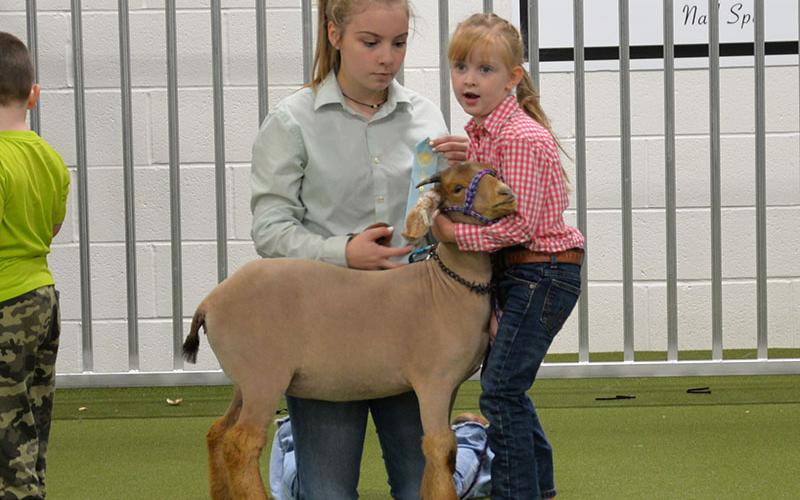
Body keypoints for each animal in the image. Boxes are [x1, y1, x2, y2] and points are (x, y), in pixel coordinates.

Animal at [182, 161, 516, 500]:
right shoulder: (434, 381)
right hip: (263, 377)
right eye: (457, 188)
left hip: (243, 380)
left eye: (493, 172)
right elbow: (441, 448)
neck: (445, 285)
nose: (507, 194)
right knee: (241, 444)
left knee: (218, 431)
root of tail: (209, 302)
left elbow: (432, 456)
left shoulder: (451, 385)